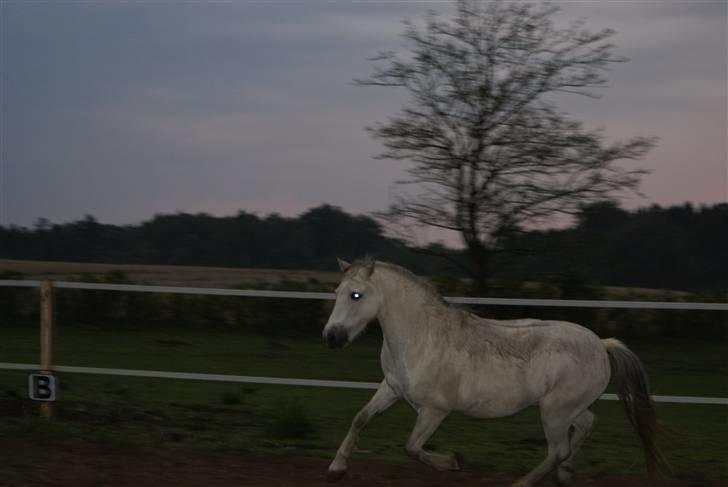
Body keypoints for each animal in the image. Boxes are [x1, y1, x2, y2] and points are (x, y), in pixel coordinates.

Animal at [322, 258, 667, 487]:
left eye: (356, 294)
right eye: (337, 292)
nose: (331, 337)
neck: (422, 336)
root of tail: (601, 343)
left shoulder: (434, 410)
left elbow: (412, 447)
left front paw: (452, 463)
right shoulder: (392, 388)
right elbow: (361, 419)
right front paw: (337, 468)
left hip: (554, 411)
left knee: (558, 448)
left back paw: (523, 484)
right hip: (568, 408)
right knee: (584, 427)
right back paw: (566, 475)